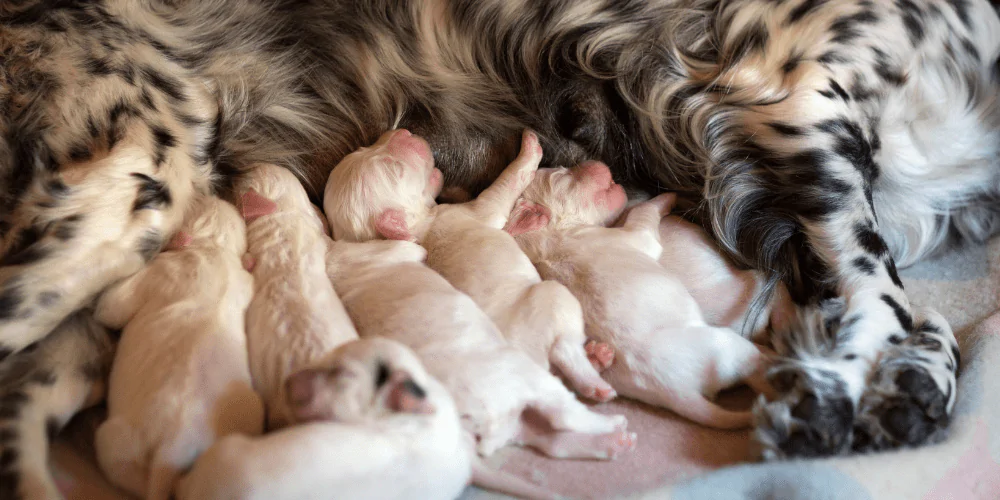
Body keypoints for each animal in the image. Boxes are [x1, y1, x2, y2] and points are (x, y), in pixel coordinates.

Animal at [91, 194, 264, 500]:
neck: (214, 247)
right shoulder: (245, 283)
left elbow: (111, 307)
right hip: (251, 412)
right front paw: (249, 260)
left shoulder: (161, 269)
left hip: (119, 438)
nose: (211, 193)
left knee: (121, 465)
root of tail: (173, 449)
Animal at [320, 130, 632, 460]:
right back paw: (603, 398)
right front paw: (530, 146)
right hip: (548, 313)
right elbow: (508, 183)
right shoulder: (483, 209)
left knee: (554, 439)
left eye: (365, 146)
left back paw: (609, 432)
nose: (402, 132)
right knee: (565, 386)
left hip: (522, 419)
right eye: (395, 168)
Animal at [508, 161, 772, 430]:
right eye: (561, 174)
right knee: (755, 370)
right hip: (727, 344)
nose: (598, 162)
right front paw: (668, 196)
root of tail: (675, 393)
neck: (550, 238)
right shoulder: (633, 237)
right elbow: (643, 211)